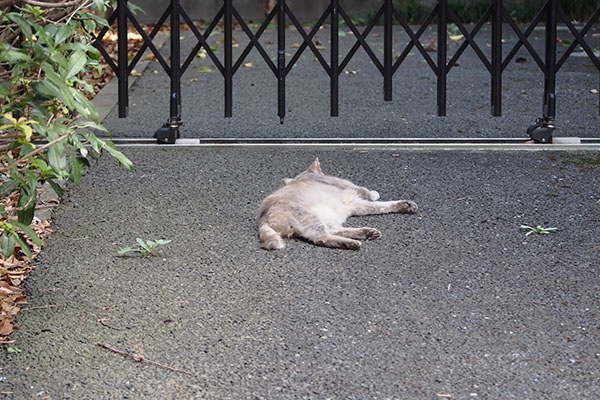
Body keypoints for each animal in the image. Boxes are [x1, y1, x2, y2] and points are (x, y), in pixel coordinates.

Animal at [258, 159, 418, 250]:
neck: (304, 177)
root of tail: (263, 219)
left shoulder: (356, 204)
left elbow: (381, 207)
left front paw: (405, 205)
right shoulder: (352, 188)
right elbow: (370, 195)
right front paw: (375, 194)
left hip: (325, 218)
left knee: (334, 230)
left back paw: (366, 233)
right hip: (309, 217)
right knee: (322, 238)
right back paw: (351, 243)